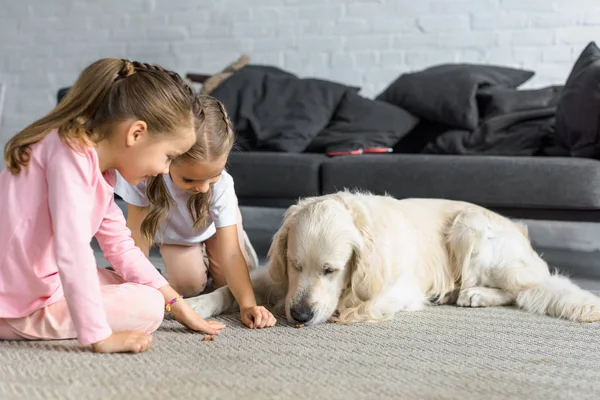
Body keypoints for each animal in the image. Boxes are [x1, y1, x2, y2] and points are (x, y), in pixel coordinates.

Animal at [186, 191, 600, 324]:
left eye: (331, 270)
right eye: (294, 264)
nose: (300, 315)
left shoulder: (400, 290)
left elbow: (357, 304)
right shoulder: (278, 279)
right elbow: (229, 289)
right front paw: (198, 304)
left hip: (470, 228)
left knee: (526, 287)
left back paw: (474, 293)